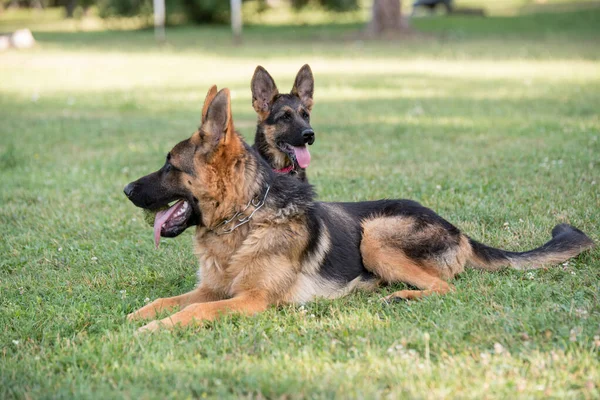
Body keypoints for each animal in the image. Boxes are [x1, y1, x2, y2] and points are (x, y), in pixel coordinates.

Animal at [124, 88, 592, 334]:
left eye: (170, 165)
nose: (125, 189)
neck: (244, 220)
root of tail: (456, 228)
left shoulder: (251, 300)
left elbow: (194, 311)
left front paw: (150, 330)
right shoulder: (214, 289)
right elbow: (166, 300)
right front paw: (137, 316)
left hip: (375, 235)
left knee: (444, 287)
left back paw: (401, 295)